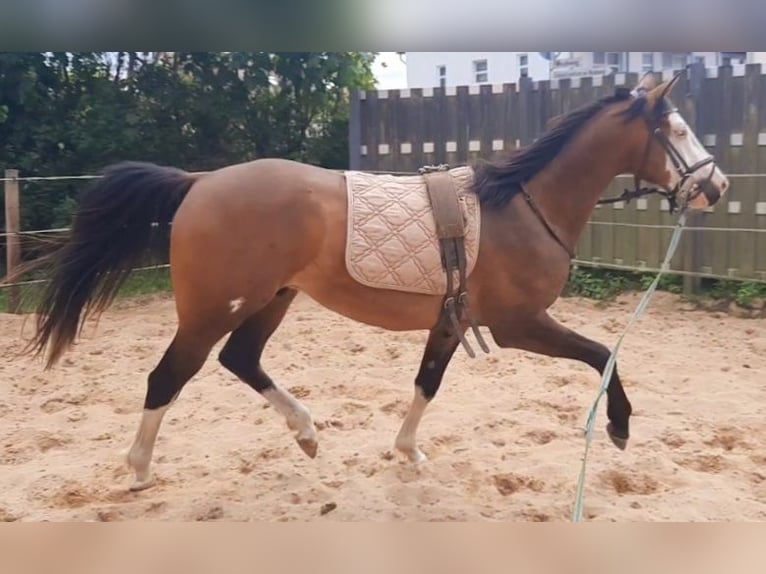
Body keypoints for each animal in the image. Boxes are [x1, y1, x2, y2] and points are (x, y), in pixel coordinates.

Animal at [19, 71, 729, 492]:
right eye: (678, 129)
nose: (717, 187)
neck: (521, 206)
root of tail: (199, 183)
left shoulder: (453, 322)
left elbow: (426, 383)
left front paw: (408, 452)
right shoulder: (517, 325)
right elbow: (604, 355)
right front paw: (620, 427)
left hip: (271, 300)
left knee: (240, 360)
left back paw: (307, 433)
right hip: (213, 308)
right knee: (168, 376)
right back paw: (139, 469)